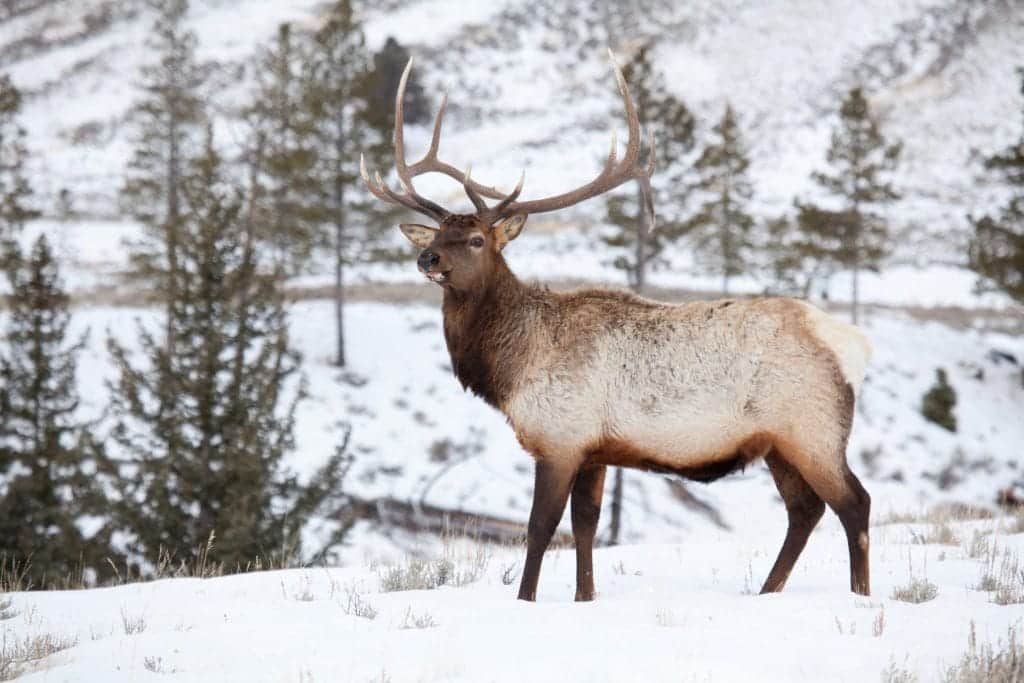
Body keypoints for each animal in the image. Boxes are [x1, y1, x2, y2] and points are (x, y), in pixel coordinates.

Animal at [361, 53, 873, 602]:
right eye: (438, 233)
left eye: (477, 239)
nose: (427, 258)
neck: (511, 368)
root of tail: (855, 347)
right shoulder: (594, 449)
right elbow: (587, 525)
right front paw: (585, 597)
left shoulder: (560, 438)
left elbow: (541, 528)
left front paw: (526, 599)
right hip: (781, 443)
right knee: (805, 510)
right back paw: (768, 592)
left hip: (813, 429)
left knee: (854, 503)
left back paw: (859, 595)